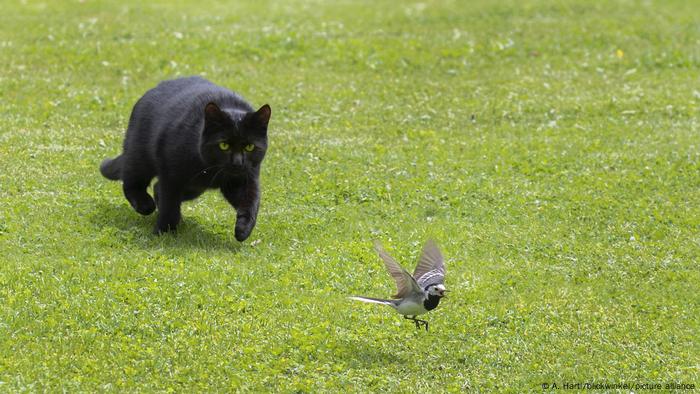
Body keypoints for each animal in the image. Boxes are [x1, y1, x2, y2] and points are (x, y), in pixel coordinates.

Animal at [101, 75, 270, 239]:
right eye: (224, 145)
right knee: (132, 181)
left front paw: (243, 230)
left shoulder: (245, 179)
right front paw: (163, 233)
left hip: (194, 187)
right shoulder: (171, 176)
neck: (210, 169)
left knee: (156, 188)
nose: (237, 162)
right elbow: (169, 206)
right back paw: (145, 205)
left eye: (249, 147)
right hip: (140, 157)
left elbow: (251, 204)